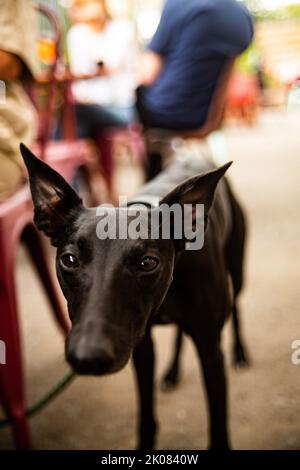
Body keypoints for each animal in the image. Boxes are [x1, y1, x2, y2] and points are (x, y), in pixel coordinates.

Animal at [19, 143, 247, 448]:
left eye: (148, 262)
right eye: (69, 259)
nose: (88, 357)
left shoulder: (210, 351)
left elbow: (218, 422)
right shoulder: (140, 347)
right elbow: (147, 417)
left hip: (237, 271)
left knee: (236, 308)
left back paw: (240, 353)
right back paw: (172, 372)